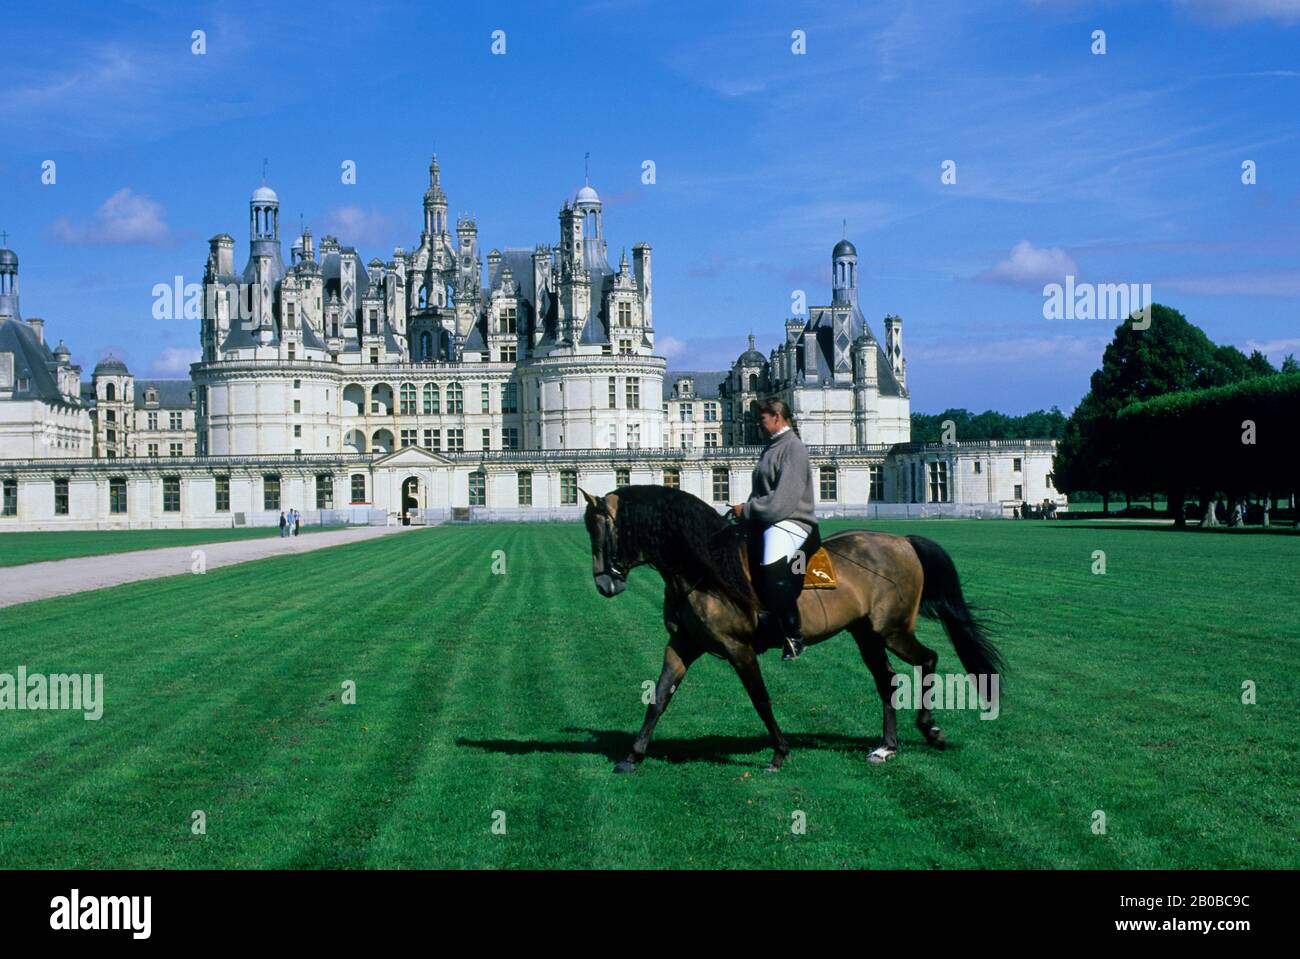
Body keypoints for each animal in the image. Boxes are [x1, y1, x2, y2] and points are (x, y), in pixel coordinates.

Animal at [581, 484, 1004, 773]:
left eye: (606, 531)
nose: (604, 584)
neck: (704, 567)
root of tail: (901, 540)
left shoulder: (738, 648)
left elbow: (760, 699)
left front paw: (780, 751)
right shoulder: (683, 644)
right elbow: (659, 698)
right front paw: (633, 756)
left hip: (892, 630)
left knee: (927, 660)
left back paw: (930, 730)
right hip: (865, 634)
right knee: (887, 681)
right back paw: (887, 746)